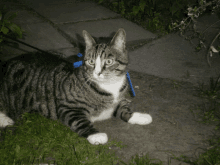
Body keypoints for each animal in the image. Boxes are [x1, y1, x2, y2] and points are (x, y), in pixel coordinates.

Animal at [0, 29, 151, 145]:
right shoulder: (68, 107)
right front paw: (96, 135)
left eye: (108, 61)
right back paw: (6, 120)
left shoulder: (117, 101)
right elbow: (80, 121)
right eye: (91, 62)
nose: (97, 73)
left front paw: (139, 116)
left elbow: (123, 109)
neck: (110, 86)